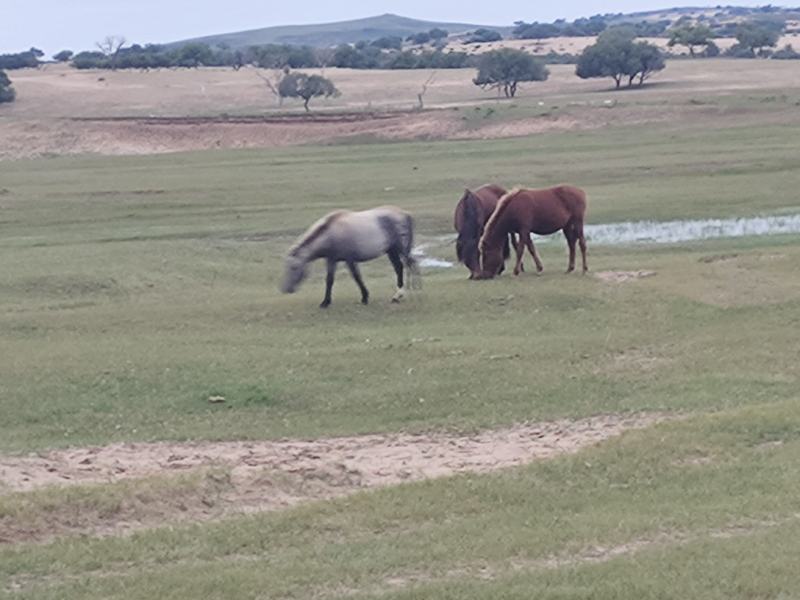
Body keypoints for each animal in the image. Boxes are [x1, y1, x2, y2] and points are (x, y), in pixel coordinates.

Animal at [282, 206, 420, 308]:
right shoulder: (331, 260)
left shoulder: (350, 260)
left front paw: (364, 297)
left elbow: (357, 277)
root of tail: (404, 214)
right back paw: (398, 296)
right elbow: (329, 280)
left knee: (406, 266)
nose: (286, 289)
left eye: (294, 267)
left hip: (399, 250)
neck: (331, 233)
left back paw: (400, 295)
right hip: (391, 252)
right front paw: (326, 302)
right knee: (400, 268)